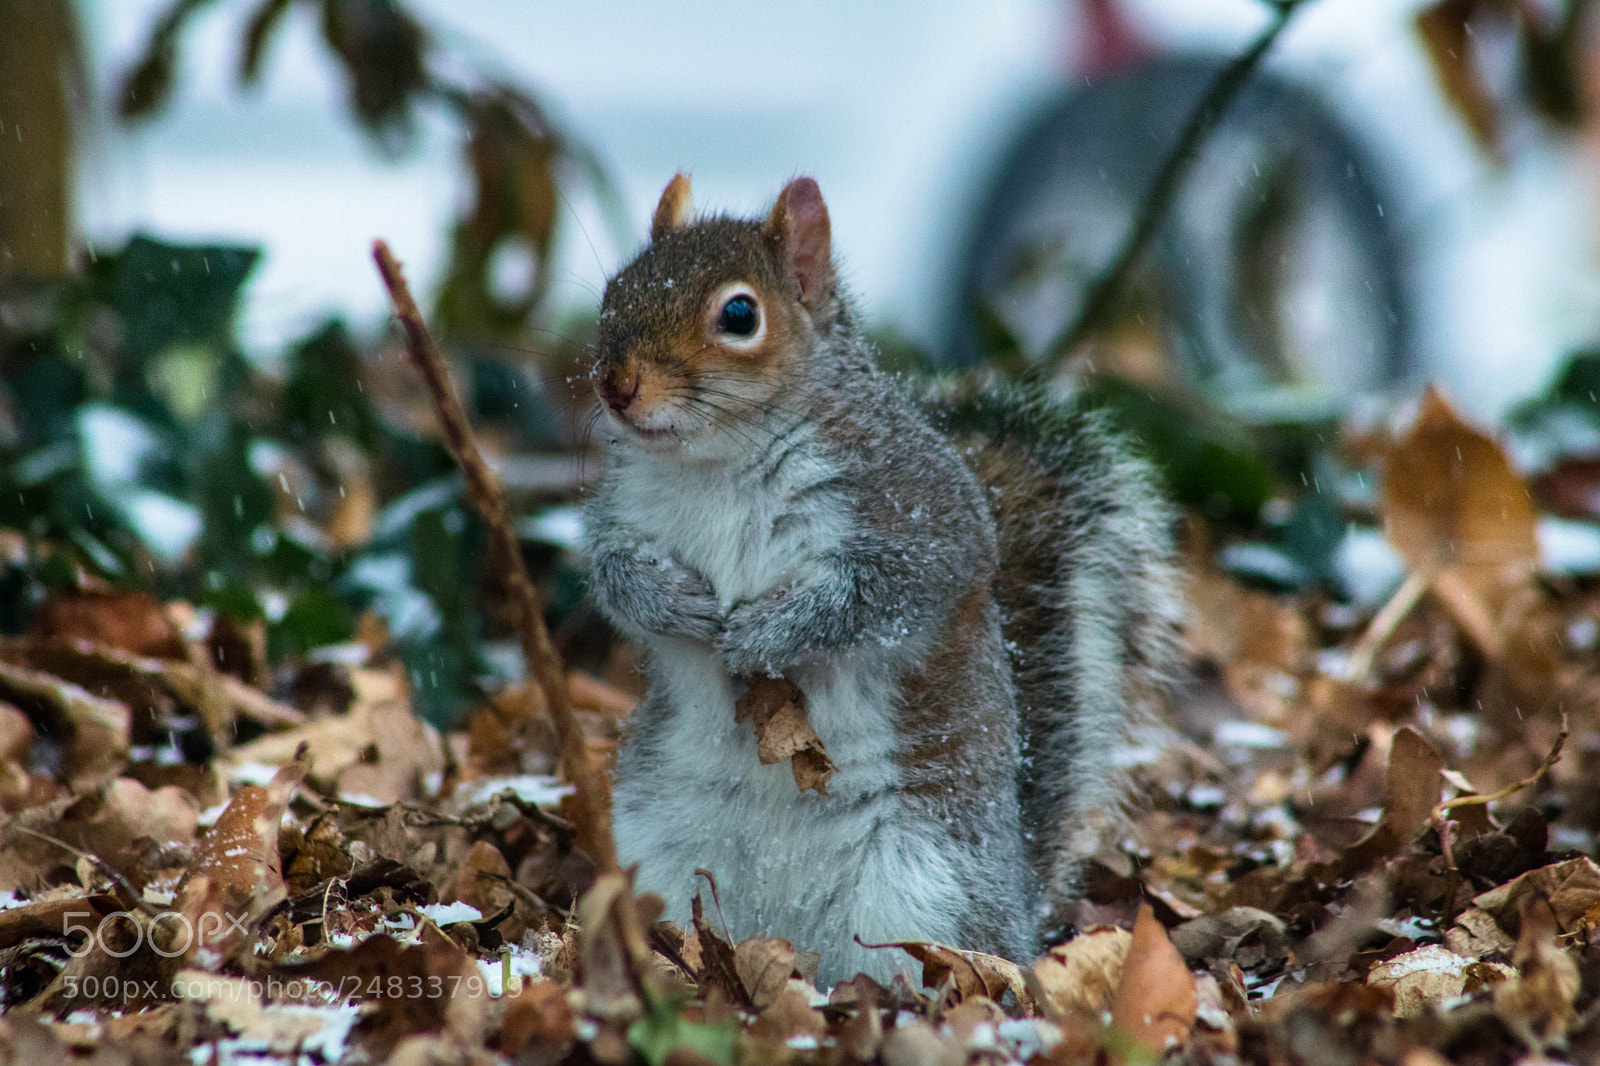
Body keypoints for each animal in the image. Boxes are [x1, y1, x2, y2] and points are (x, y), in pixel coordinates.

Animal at [582, 173, 1182, 986]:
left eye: (739, 315)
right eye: (614, 290)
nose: (616, 386)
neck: (718, 462)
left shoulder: (919, 510)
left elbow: (889, 592)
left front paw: (773, 630)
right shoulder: (623, 514)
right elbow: (611, 571)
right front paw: (671, 603)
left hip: (924, 880)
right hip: (659, 850)